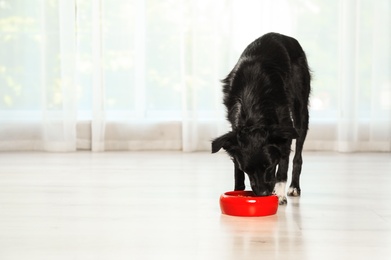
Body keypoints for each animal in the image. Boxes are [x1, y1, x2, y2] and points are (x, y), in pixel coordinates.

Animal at [213, 32, 310, 204]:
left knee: (298, 155)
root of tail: (283, 36)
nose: (263, 194)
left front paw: (279, 193)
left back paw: (294, 187)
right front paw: (237, 191)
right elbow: (237, 170)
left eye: (270, 166)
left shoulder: (285, 126)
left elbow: (283, 163)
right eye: (247, 170)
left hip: (301, 110)